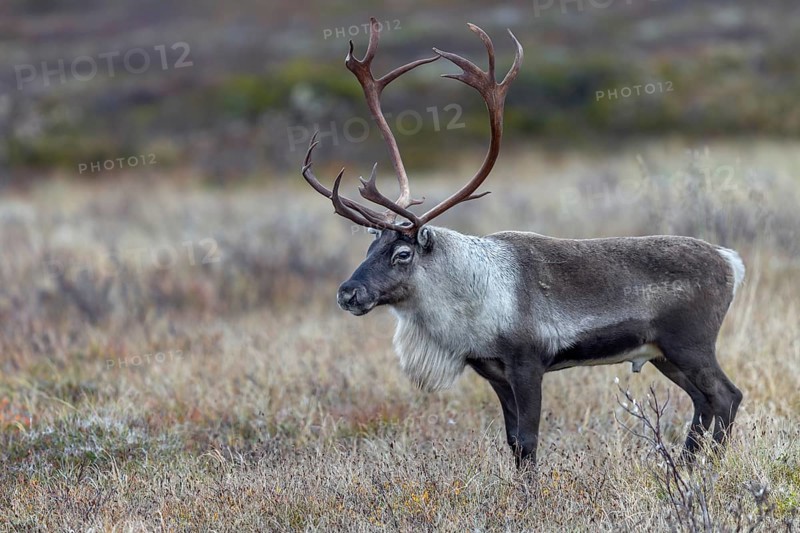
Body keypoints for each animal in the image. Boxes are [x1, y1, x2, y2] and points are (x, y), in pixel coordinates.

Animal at [301, 18, 745, 467]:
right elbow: (513, 441)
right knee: (703, 401)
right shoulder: (494, 373)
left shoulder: (528, 364)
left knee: (726, 396)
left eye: (402, 253)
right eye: (369, 248)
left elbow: (529, 441)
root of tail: (730, 260)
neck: (471, 297)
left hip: (690, 344)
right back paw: (685, 466)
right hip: (662, 354)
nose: (348, 293)